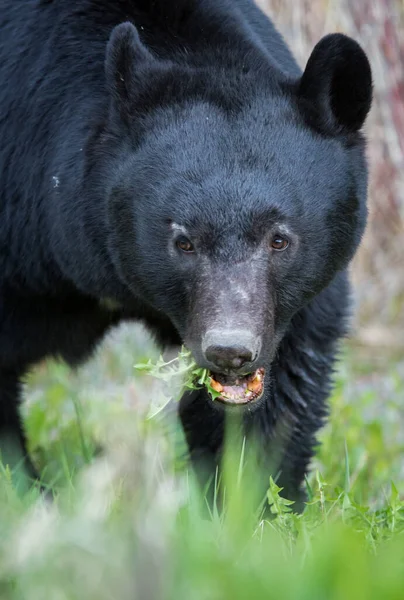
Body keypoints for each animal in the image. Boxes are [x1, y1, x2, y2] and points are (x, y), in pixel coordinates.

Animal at [0, 0, 372, 508]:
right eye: (184, 242)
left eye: (279, 239)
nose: (230, 350)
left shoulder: (297, 303)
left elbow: (282, 387)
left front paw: (248, 502)